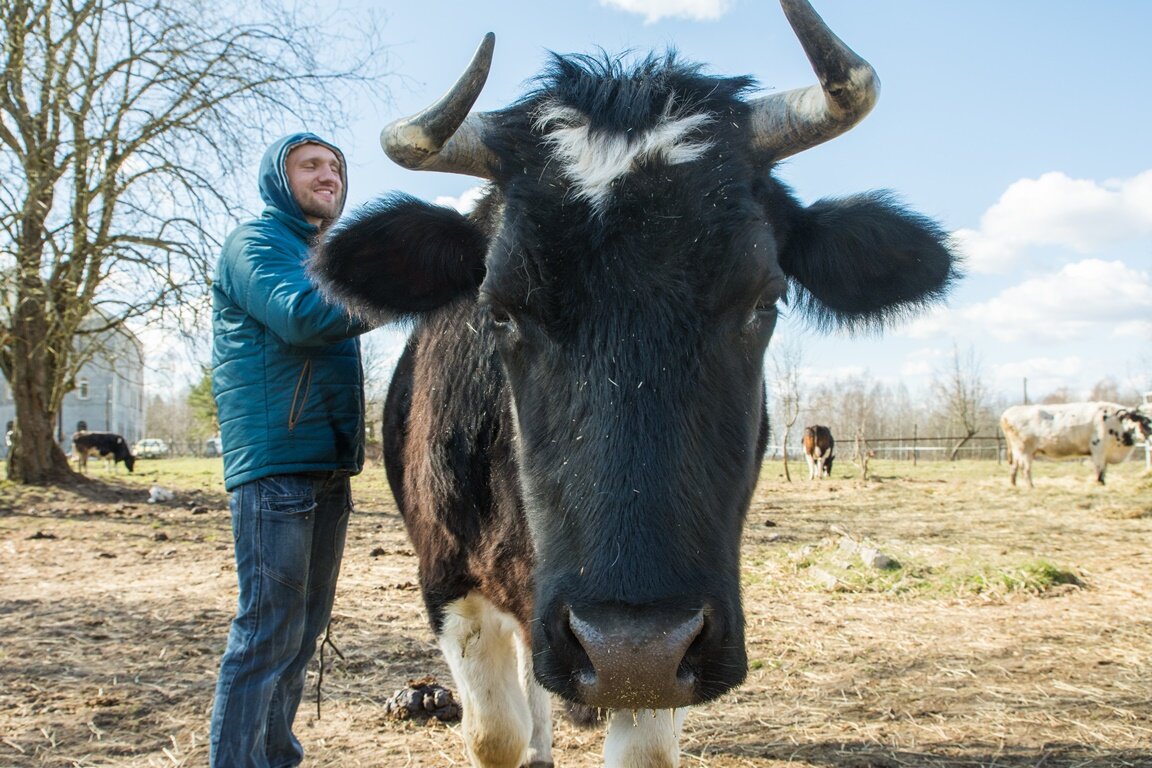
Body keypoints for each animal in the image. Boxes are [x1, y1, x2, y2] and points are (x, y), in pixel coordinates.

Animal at [999, 402, 1152, 485]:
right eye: (1142, 420)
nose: (1149, 433)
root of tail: (1008, 412)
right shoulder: (1098, 450)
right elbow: (1099, 472)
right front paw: (1099, 485)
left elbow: (1104, 471)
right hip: (1024, 450)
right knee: (1025, 469)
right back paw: (1031, 487)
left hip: (1018, 451)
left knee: (1014, 466)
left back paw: (1014, 485)